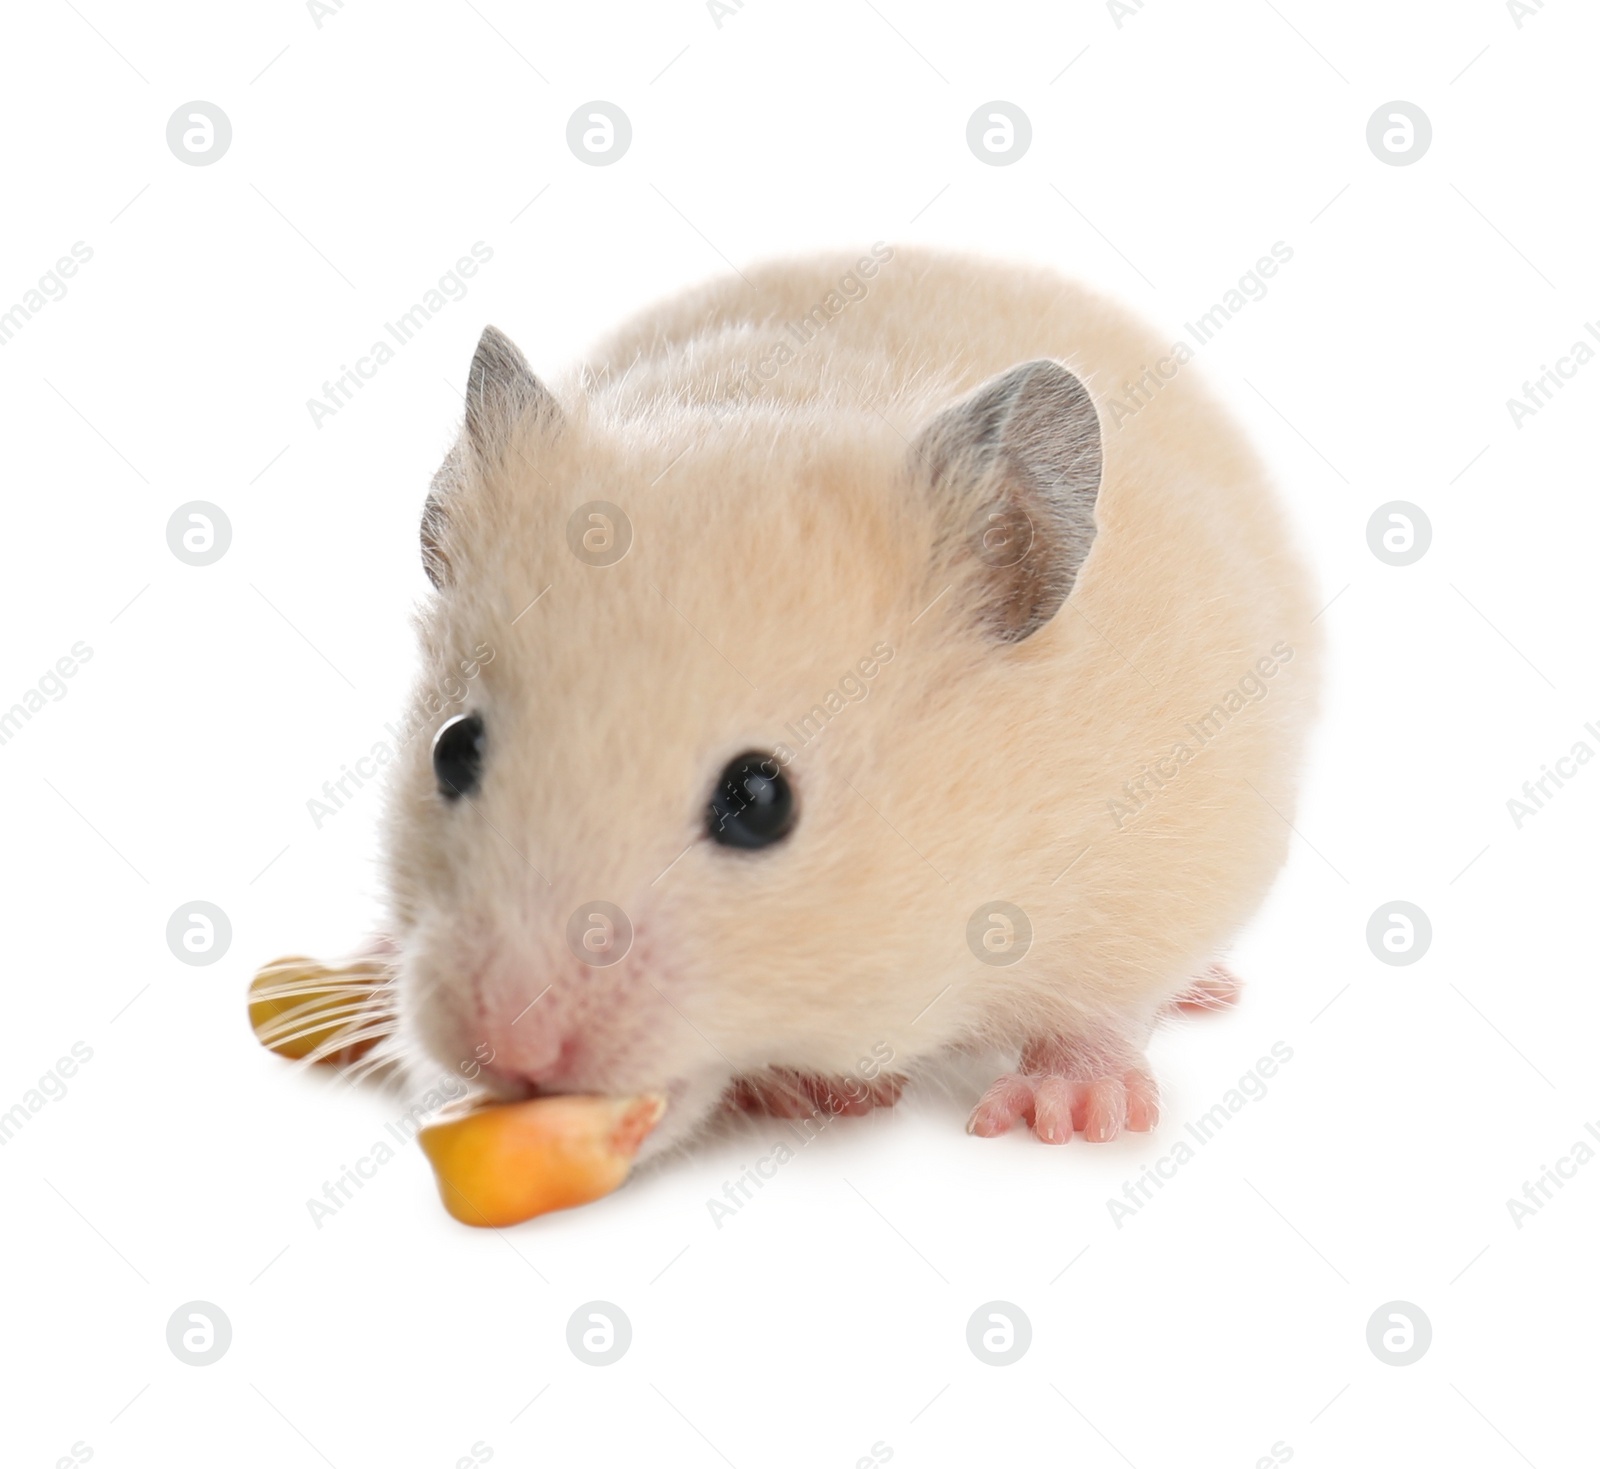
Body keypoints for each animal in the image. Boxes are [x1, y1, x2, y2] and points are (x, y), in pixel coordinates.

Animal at [380, 244, 1318, 1158]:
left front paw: (1067, 1117)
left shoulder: (1164, 856)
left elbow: (1101, 1009)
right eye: (452, 748)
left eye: (761, 800)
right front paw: (811, 1092)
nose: (510, 1044)